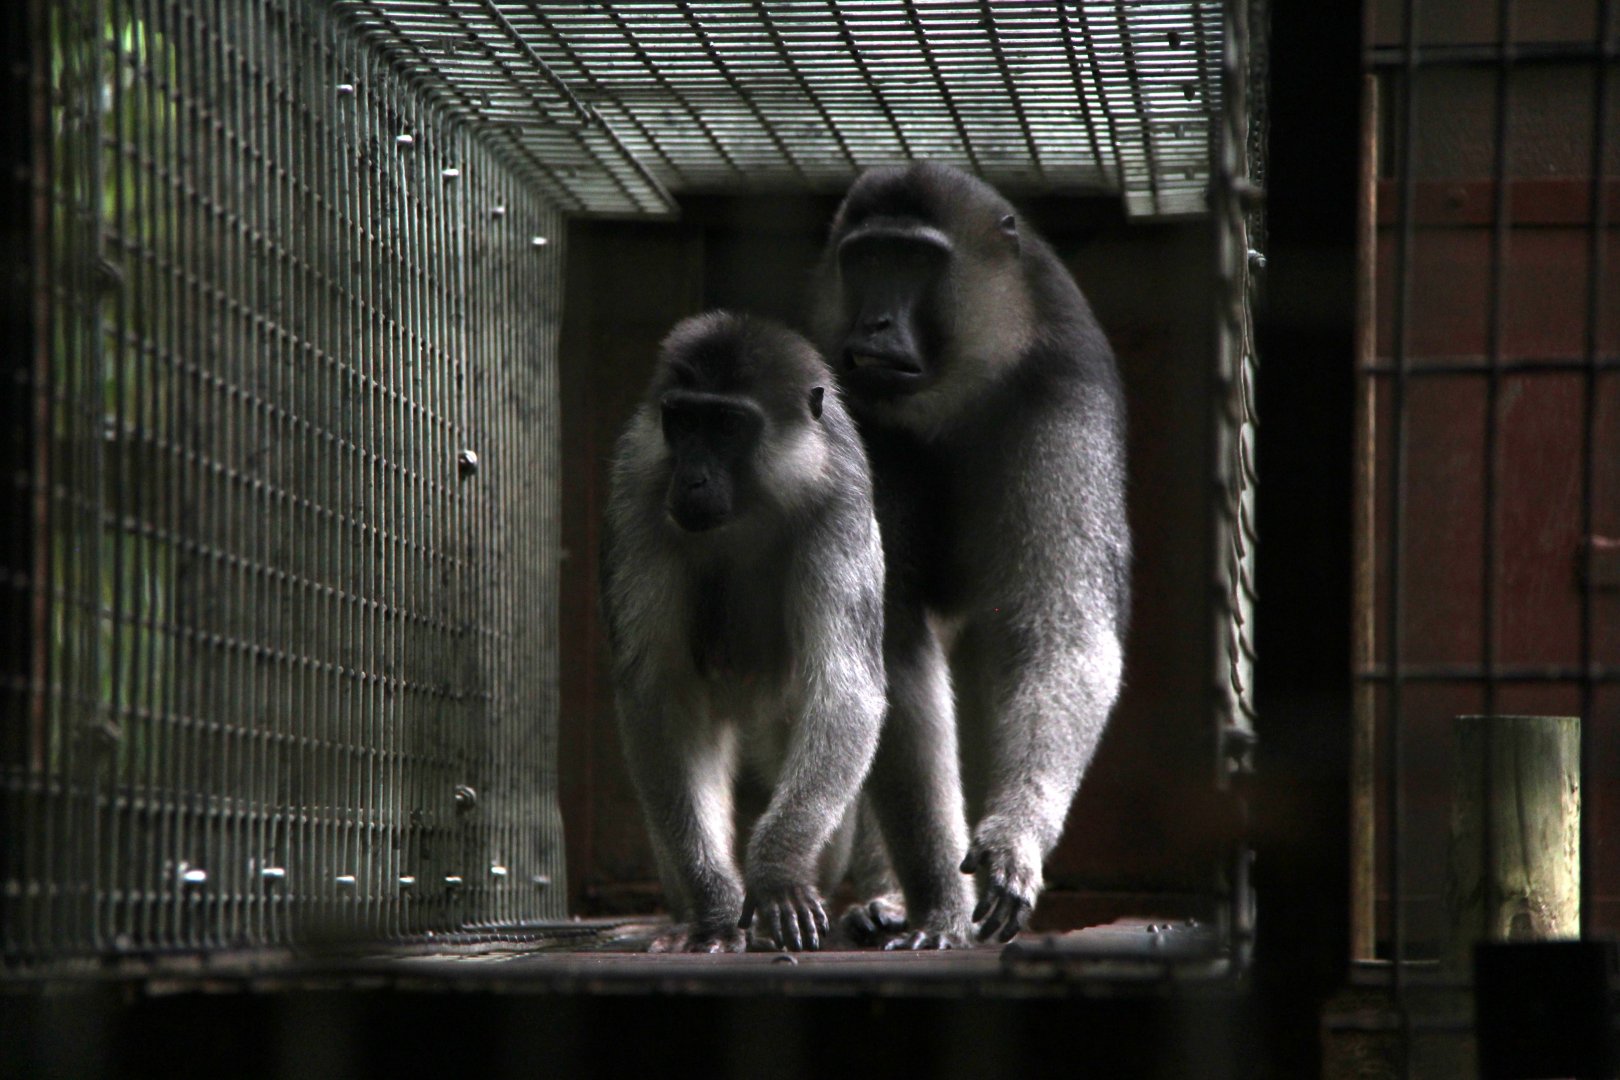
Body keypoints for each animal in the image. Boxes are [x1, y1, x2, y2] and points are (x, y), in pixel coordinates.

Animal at [600, 311, 888, 953]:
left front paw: (777, 874)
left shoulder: (841, 502)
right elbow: (657, 695)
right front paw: (713, 906)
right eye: (684, 421)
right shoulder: (639, 492)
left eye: (728, 425)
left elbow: (846, 690)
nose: (692, 478)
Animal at [812, 161, 1131, 948]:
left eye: (914, 260)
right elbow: (887, 650)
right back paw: (885, 896)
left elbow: (1061, 629)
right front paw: (938, 906)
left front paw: (1015, 837)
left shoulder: (1060, 396)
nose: (875, 324)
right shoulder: (867, 432)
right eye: (866, 259)